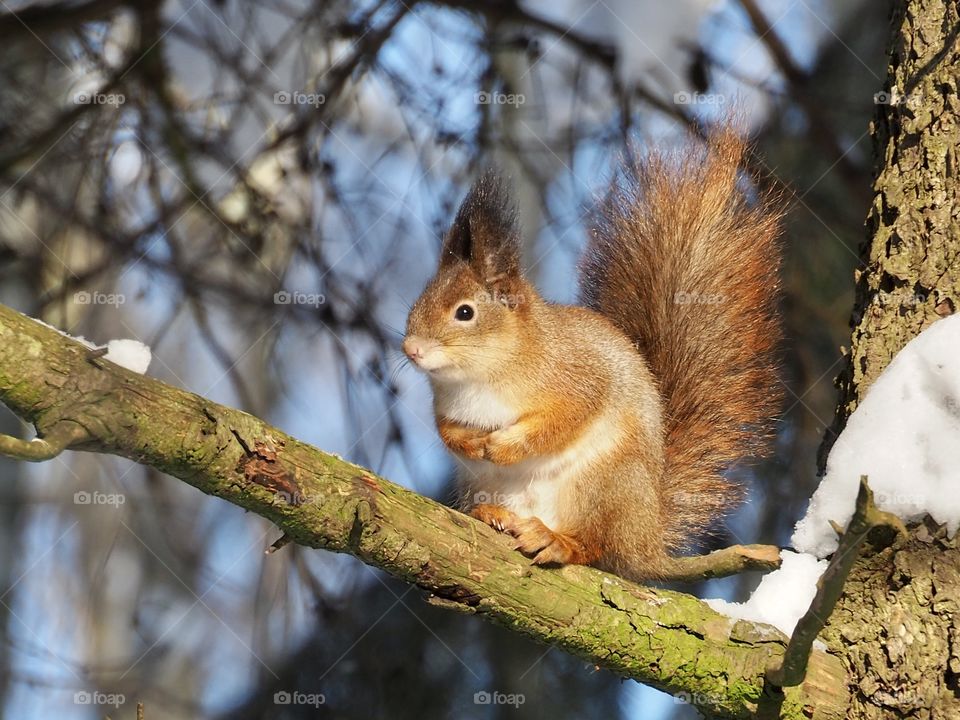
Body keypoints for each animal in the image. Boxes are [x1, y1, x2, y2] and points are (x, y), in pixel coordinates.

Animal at [402, 129, 782, 580]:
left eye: (465, 313)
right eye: (417, 303)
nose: (411, 349)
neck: (482, 375)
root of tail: (646, 541)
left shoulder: (578, 377)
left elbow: (564, 419)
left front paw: (505, 447)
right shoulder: (446, 406)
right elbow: (446, 430)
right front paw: (471, 444)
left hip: (603, 483)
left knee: (596, 545)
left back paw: (558, 540)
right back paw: (494, 514)